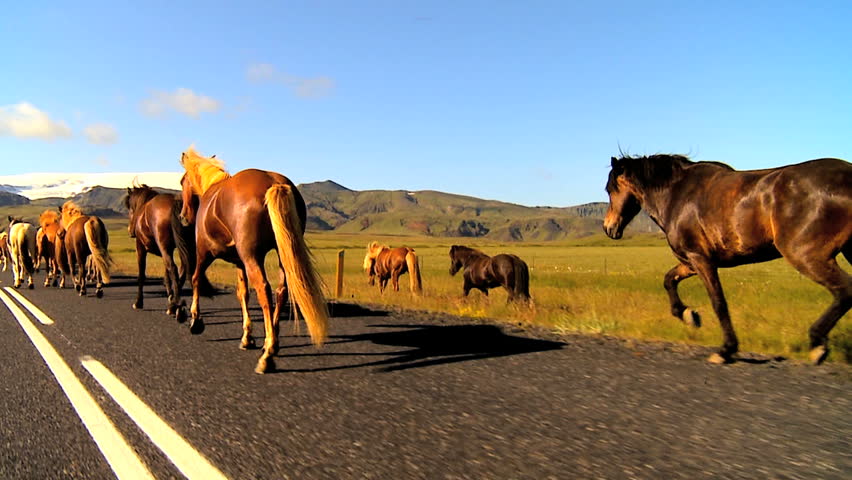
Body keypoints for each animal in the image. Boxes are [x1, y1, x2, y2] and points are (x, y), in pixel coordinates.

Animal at [124, 183, 195, 320]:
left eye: (130, 208)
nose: (130, 230)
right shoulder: (169, 250)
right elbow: (166, 276)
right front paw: (170, 296)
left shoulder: (140, 247)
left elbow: (141, 275)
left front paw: (138, 302)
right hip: (183, 246)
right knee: (182, 270)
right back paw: (175, 304)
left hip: (164, 246)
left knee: (173, 268)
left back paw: (174, 307)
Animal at [178, 146, 329, 374]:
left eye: (182, 181)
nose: (183, 217)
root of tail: (274, 182)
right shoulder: (240, 262)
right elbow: (243, 294)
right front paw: (247, 337)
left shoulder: (205, 253)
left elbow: (196, 279)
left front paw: (196, 321)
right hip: (282, 253)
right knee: (281, 291)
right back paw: (272, 343)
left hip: (252, 257)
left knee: (264, 290)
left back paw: (268, 355)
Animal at [604, 153, 852, 365]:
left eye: (610, 189)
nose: (609, 228)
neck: (676, 195)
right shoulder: (690, 262)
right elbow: (669, 280)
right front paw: (689, 315)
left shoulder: (701, 260)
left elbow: (719, 302)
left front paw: (726, 350)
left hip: (805, 255)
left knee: (845, 290)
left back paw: (817, 343)